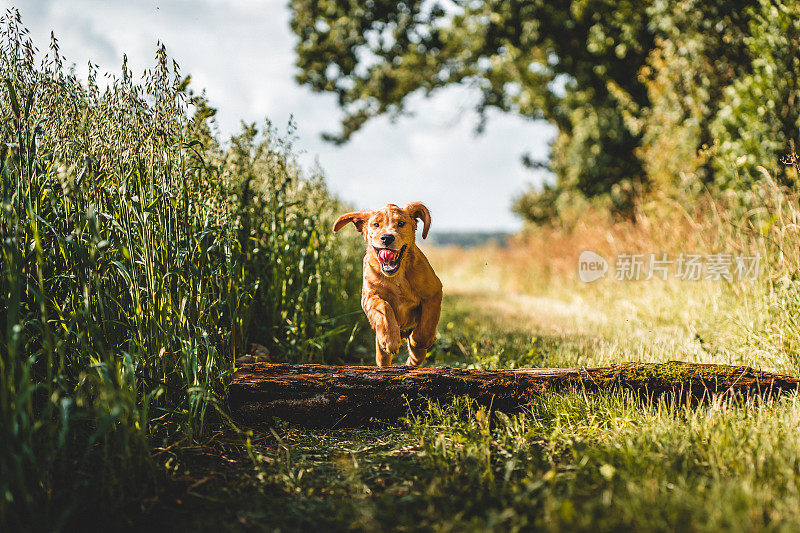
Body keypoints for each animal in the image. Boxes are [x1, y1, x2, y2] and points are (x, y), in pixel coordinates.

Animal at [332, 201, 444, 366]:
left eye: (401, 223)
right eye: (376, 225)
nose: (387, 238)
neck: (397, 276)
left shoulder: (434, 292)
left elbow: (427, 323)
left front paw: (419, 340)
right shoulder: (368, 298)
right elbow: (384, 306)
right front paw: (390, 339)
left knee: (415, 358)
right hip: (380, 353)